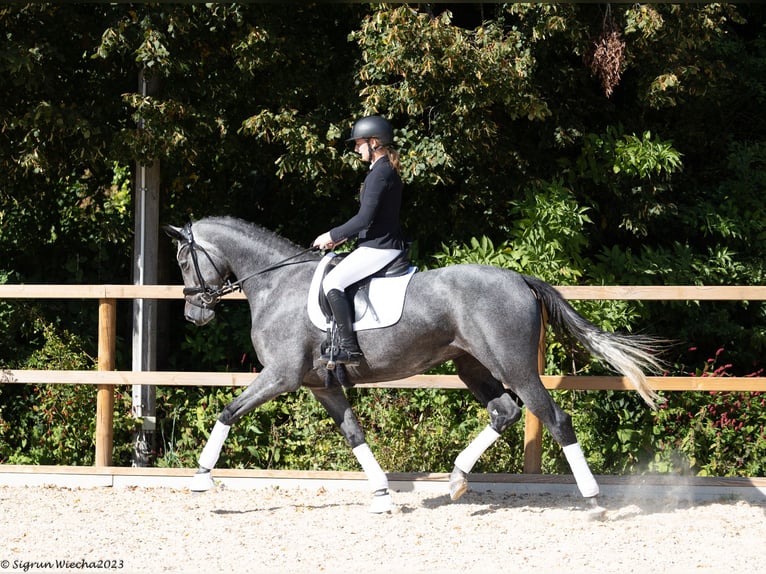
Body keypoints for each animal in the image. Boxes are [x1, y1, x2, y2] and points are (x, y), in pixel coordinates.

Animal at [164, 218, 664, 516]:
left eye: (185, 260)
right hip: (470, 365)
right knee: (505, 411)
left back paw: (594, 501)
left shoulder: (280, 377)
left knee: (555, 418)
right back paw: (457, 480)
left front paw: (201, 480)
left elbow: (228, 412)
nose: (194, 315)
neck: (275, 283)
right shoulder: (320, 385)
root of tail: (519, 278)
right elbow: (354, 434)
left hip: (515, 366)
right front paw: (383, 496)